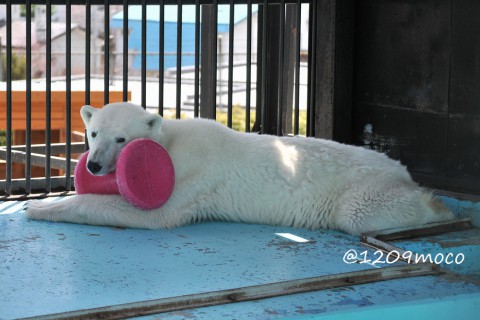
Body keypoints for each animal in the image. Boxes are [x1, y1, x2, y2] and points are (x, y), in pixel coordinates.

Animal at [26, 102, 454, 235]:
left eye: (122, 139)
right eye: (93, 132)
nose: (96, 165)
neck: (171, 142)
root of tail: (401, 171)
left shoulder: (192, 175)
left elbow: (155, 215)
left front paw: (38, 207)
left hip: (364, 191)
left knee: (360, 212)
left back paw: (439, 207)